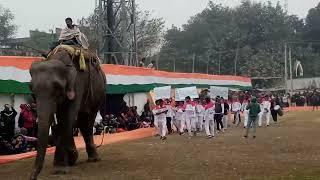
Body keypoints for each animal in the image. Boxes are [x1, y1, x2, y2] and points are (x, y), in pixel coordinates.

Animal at [28, 47, 106, 180]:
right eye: (32, 90)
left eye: (57, 88)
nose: (32, 177)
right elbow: (57, 123)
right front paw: (70, 158)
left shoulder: (77, 84)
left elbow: (68, 118)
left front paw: (60, 168)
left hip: (98, 95)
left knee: (87, 121)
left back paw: (93, 159)